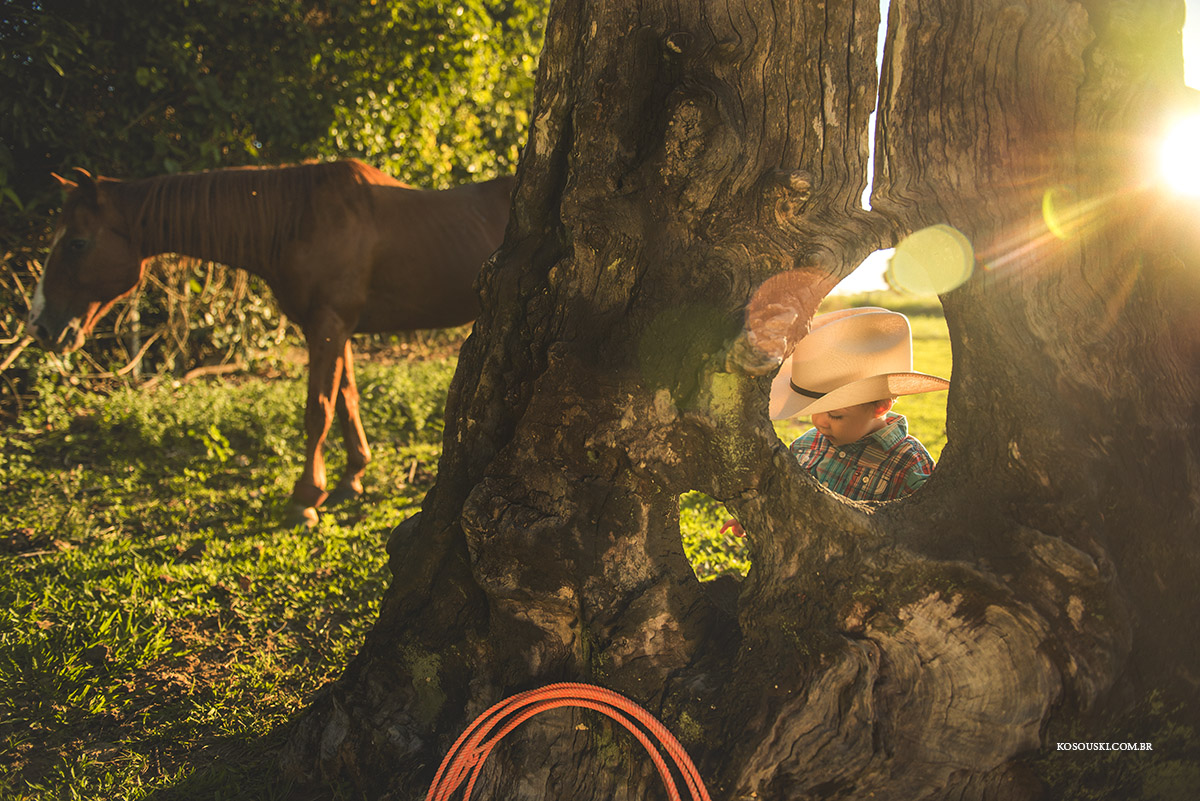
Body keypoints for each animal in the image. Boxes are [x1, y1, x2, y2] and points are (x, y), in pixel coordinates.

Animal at [27, 160, 514, 528]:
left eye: (76, 243)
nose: (40, 326)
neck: (299, 219)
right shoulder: (337, 328)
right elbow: (346, 400)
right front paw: (351, 478)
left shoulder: (328, 325)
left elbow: (318, 409)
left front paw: (306, 498)